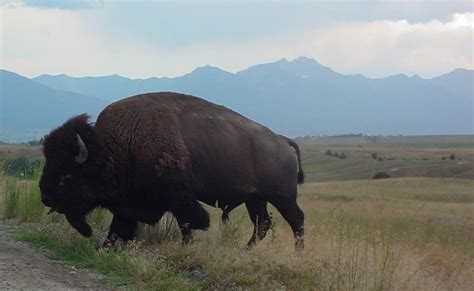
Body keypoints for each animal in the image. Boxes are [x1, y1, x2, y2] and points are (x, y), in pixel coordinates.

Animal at [40, 92, 308, 250]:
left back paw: (298, 253)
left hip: (282, 197)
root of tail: (283, 141)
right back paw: (246, 251)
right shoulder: (130, 204)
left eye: (67, 175)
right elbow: (121, 226)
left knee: (296, 220)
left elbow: (190, 223)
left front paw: (184, 249)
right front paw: (107, 246)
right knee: (263, 224)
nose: (45, 197)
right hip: (256, 199)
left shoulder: (178, 197)